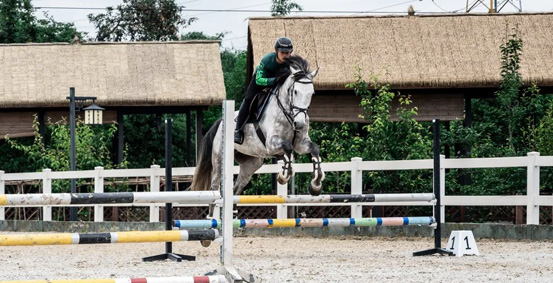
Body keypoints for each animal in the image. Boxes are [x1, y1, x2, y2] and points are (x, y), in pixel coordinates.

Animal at [192, 56, 326, 204]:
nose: (300, 124)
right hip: (218, 160)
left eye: (312, 93)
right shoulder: (271, 143)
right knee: (215, 188)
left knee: (236, 188)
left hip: (251, 163)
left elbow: (314, 149)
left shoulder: (300, 144)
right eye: (295, 91)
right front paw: (284, 175)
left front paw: (316, 184)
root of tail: (221, 122)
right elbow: (287, 147)